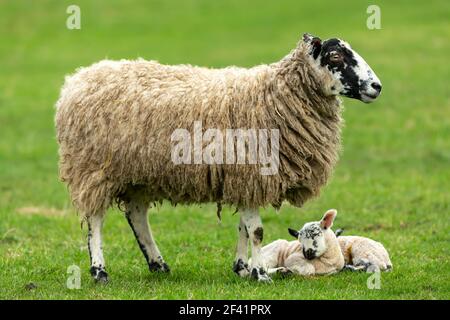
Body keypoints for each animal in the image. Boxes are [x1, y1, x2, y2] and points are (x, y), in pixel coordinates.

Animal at [54, 33, 382, 282]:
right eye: (335, 56)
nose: (376, 86)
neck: (276, 95)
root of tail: (77, 79)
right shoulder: (249, 173)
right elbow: (257, 230)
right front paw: (260, 274)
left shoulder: (244, 180)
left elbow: (244, 228)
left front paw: (243, 268)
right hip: (94, 169)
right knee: (95, 219)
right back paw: (99, 271)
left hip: (139, 173)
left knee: (136, 214)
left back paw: (158, 264)